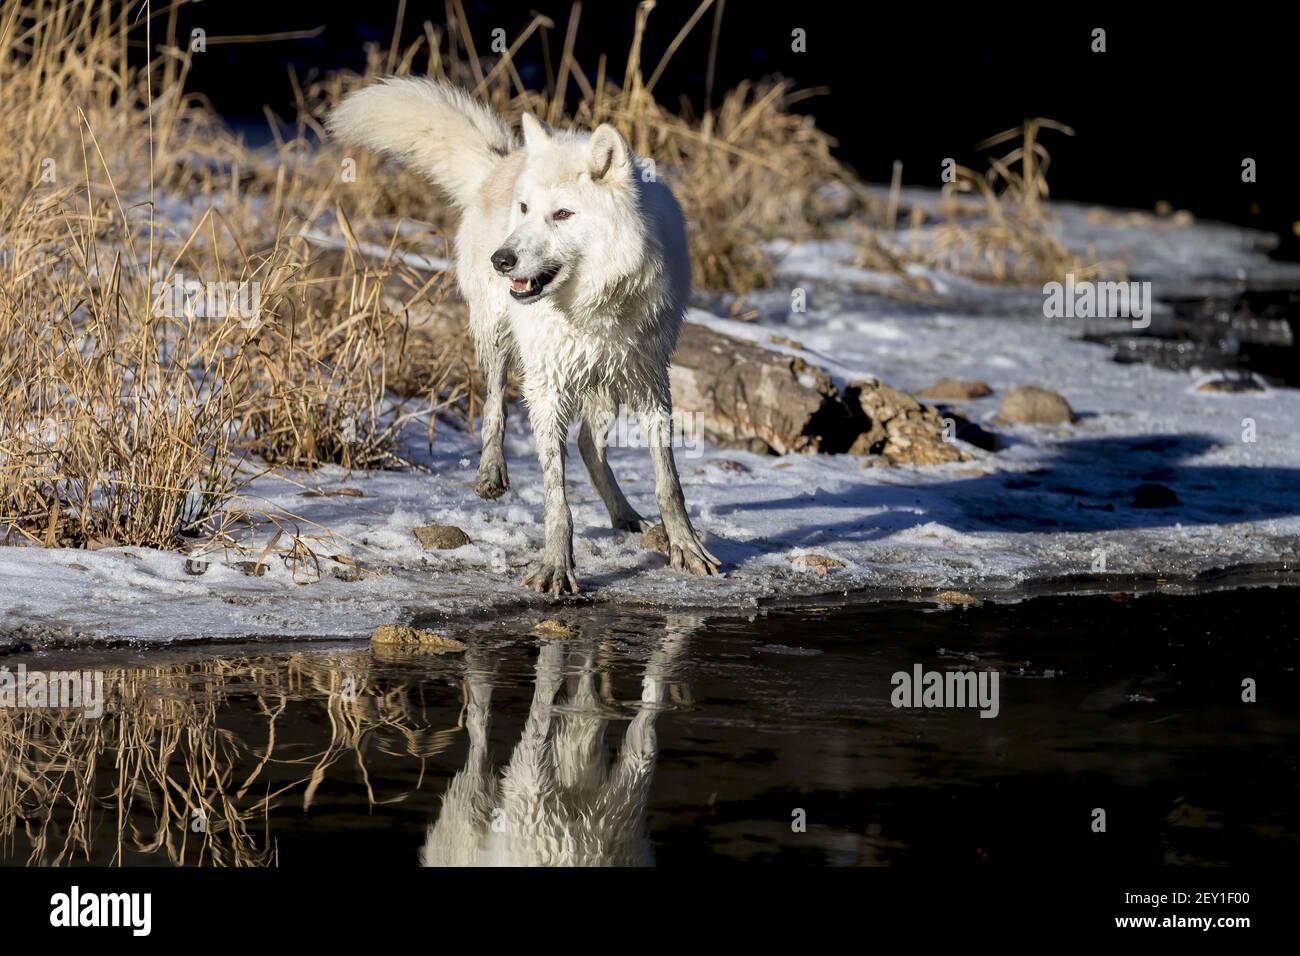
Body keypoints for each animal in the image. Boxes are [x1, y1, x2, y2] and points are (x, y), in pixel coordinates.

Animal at [330, 82, 722, 595]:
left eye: (562, 214)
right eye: (525, 210)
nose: (502, 259)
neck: (590, 305)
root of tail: (502, 161)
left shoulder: (650, 379)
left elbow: (669, 482)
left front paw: (687, 548)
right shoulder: (546, 384)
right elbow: (556, 496)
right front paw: (556, 565)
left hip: (607, 383)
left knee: (588, 445)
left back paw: (625, 517)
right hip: (500, 339)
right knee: (495, 404)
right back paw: (491, 474)